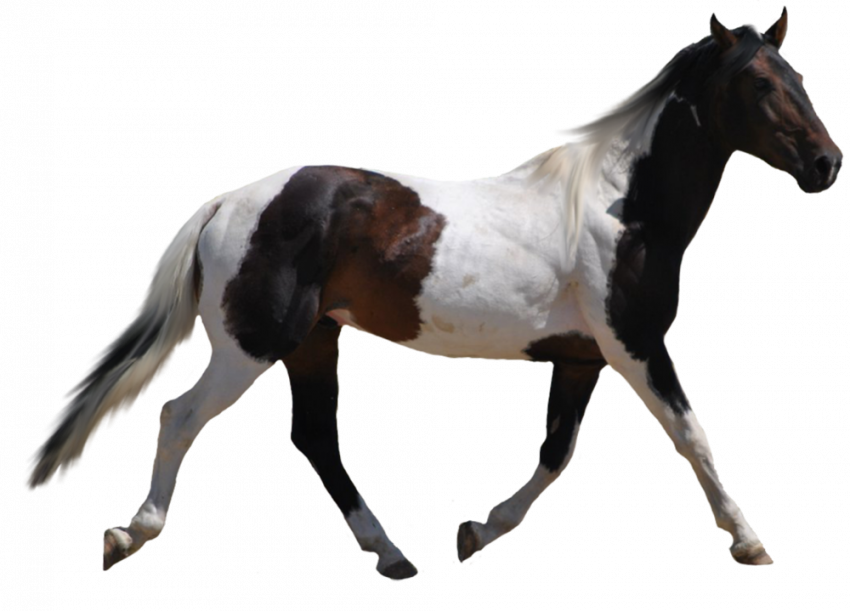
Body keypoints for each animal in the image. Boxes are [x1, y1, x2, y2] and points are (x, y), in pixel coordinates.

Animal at [24, 7, 843, 581]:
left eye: (799, 77)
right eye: (762, 84)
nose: (827, 165)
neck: (622, 209)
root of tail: (229, 203)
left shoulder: (583, 354)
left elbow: (556, 451)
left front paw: (473, 534)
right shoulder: (634, 342)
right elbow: (689, 434)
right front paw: (752, 544)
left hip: (314, 338)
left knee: (314, 437)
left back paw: (392, 554)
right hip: (253, 342)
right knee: (179, 415)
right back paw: (128, 535)